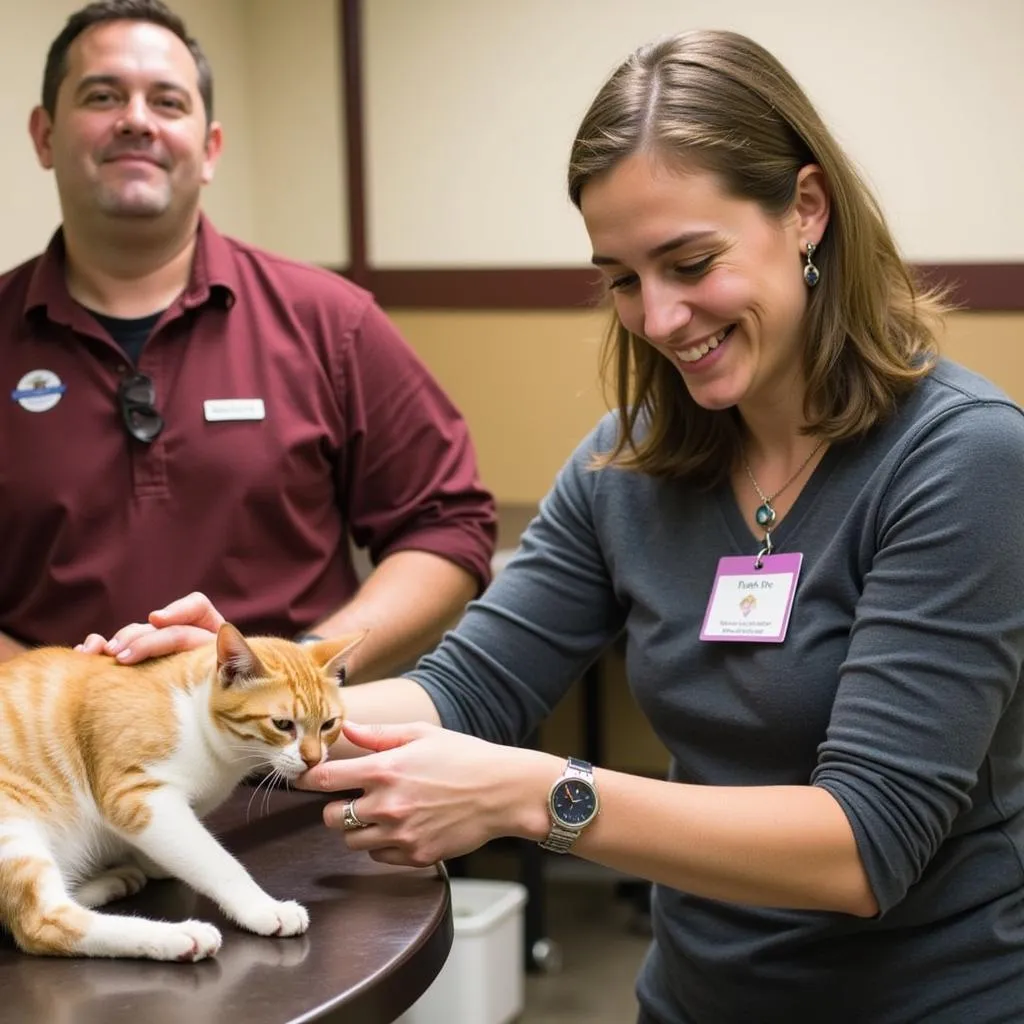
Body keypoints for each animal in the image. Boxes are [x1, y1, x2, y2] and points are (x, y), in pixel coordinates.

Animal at [0, 618, 364, 962]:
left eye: (328, 725)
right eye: (283, 725)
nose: (313, 759)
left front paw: (150, 862)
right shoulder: (138, 797)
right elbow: (215, 860)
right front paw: (262, 908)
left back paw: (111, 881)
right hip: (12, 822)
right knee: (41, 924)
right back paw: (179, 938)